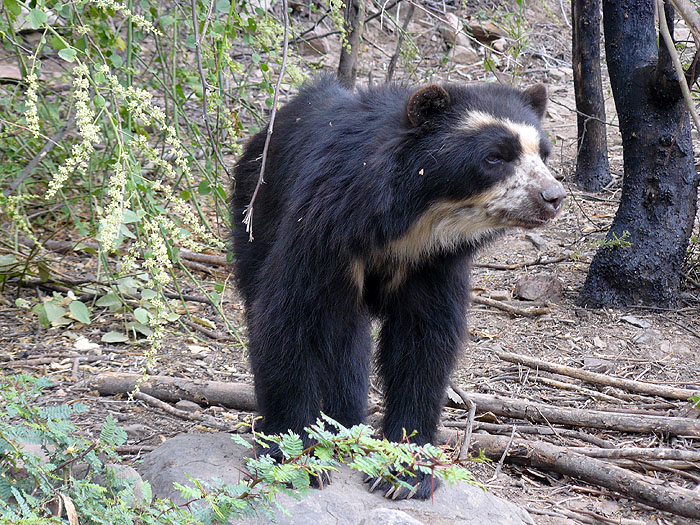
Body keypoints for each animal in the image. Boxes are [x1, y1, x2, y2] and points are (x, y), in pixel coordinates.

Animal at [232, 73, 568, 496]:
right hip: (255, 213)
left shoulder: (434, 263)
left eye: (544, 154)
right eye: (495, 157)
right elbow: (288, 319)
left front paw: (405, 472)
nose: (553, 196)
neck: (410, 221)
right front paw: (293, 457)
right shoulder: (321, 227)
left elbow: (424, 344)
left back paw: (345, 422)